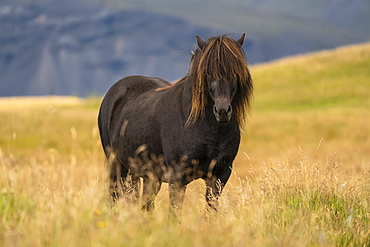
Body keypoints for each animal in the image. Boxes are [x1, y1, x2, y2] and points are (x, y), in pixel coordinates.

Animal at [98, 33, 253, 215]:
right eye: (207, 72)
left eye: (236, 72)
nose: (222, 111)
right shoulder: (178, 178)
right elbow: (174, 213)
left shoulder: (219, 176)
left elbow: (211, 211)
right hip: (117, 166)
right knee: (114, 197)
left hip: (148, 175)